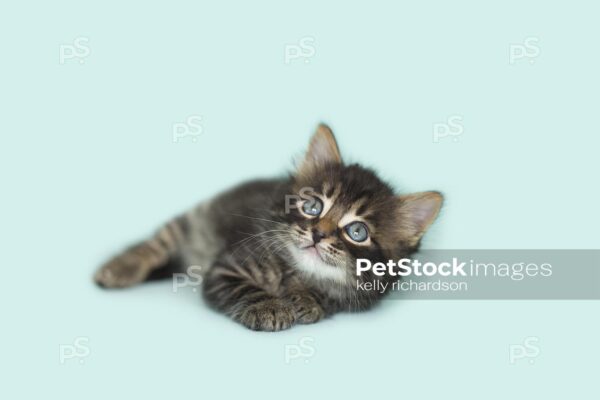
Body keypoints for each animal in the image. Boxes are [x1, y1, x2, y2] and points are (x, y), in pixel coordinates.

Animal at [94, 124, 440, 332]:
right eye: (313, 207)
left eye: (357, 232)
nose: (318, 234)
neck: (299, 272)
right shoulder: (227, 267)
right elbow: (246, 288)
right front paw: (270, 307)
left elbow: (326, 298)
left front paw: (309, 299)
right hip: (192, 221)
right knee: (154, 245)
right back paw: (118, 269)